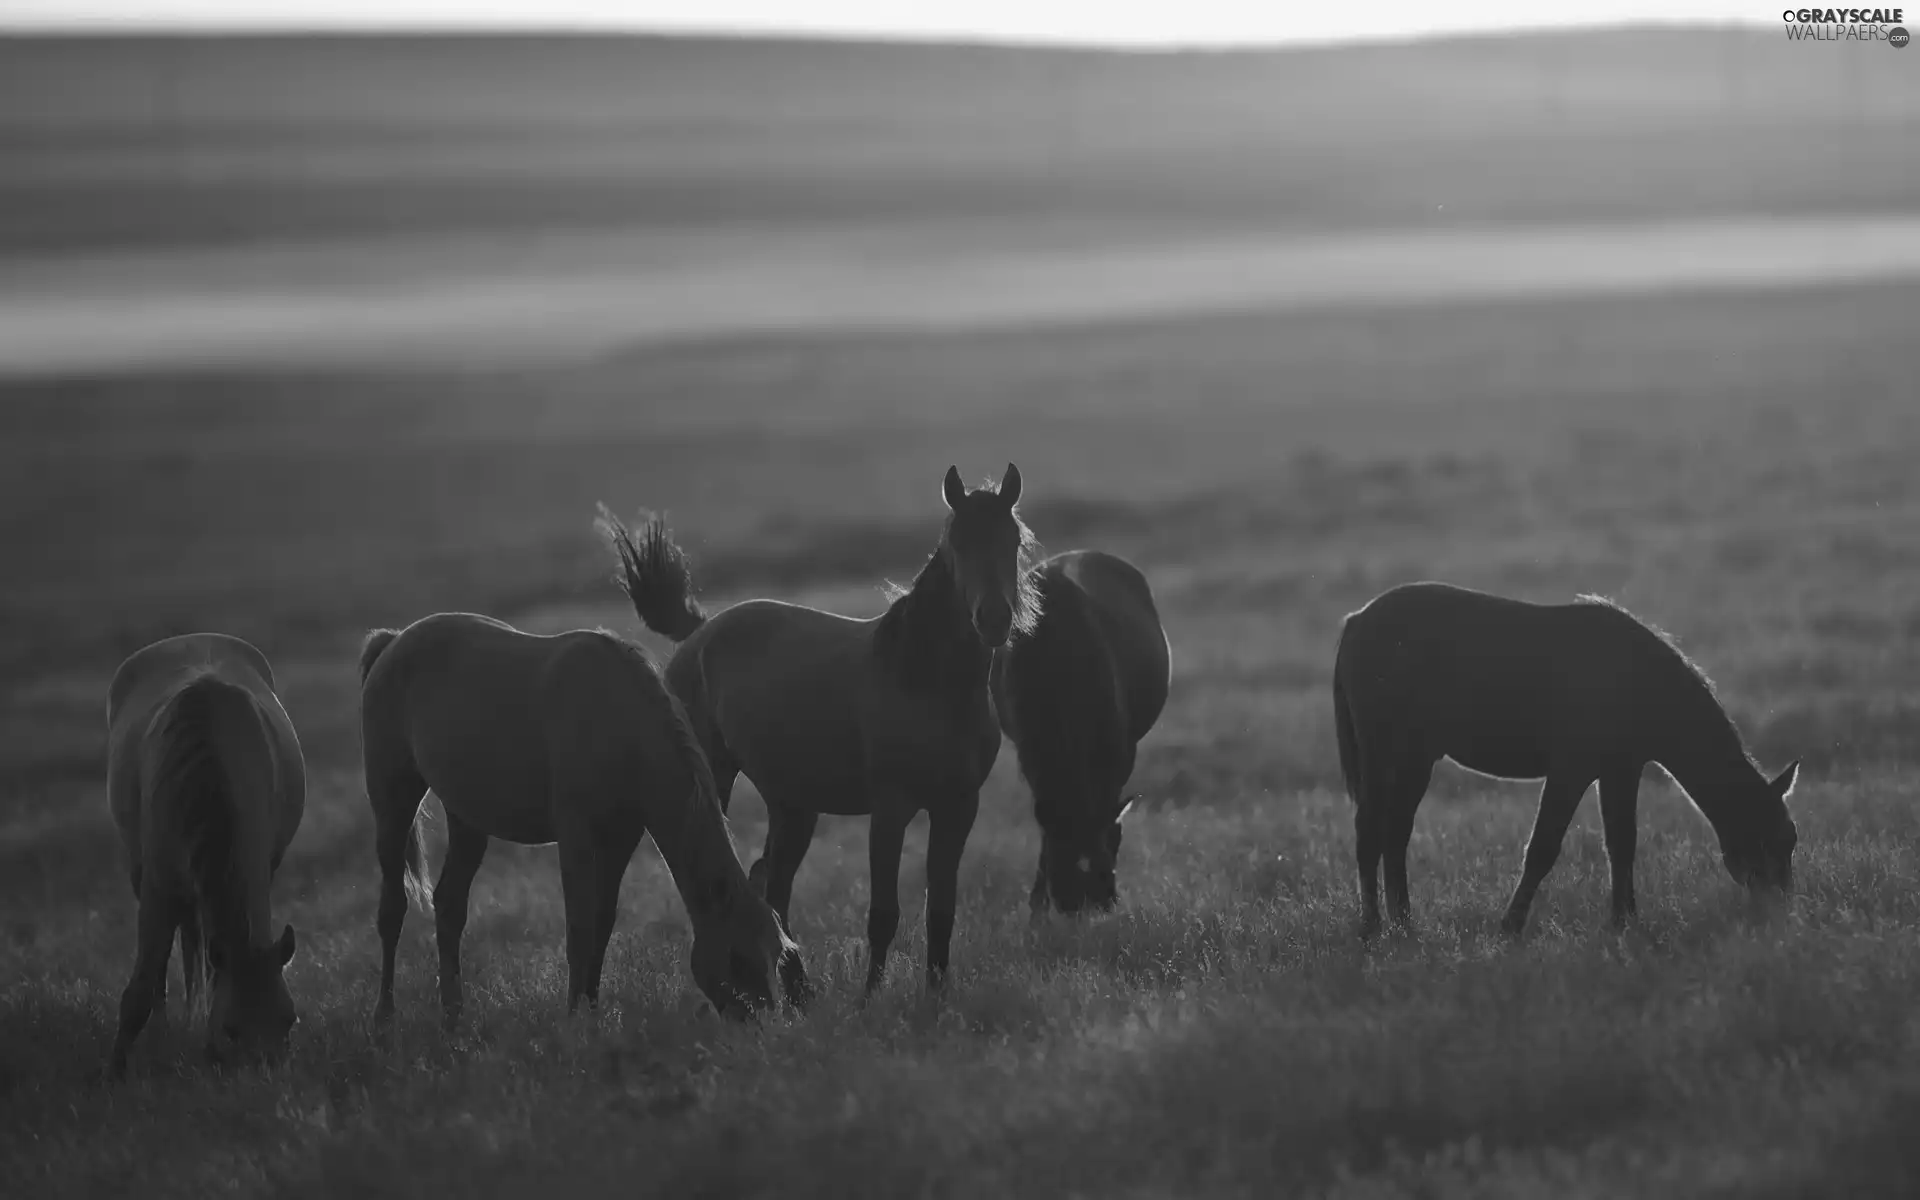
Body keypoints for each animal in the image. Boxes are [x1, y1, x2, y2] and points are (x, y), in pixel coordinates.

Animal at [106, 637, 303, 1075]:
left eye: (289, 1019)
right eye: (231, 1029)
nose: (264, 1075)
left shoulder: (261, 867)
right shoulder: (157, 884)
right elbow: (141, 986)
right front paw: (115, 1071)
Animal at [357, 614, 806, 1021]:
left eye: (777, 956)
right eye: (738, 958)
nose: (765, 1025)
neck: (620, 724)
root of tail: (393, 640)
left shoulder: (621, 837)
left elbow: (602, 923)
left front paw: (591, 1006)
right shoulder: (577, 835)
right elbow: (579, 926)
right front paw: (575, 1017)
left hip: (467, 818)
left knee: (450, 905)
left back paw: (454, 1014)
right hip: (393, 803)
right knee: (392, 908)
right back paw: (384, 1015)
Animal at [606, 462, 1044, 998]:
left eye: (1013, 541)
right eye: (957, 542)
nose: (994, 619)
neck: (923, 681)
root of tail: (699, 633)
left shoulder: (958, 808)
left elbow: (941, 911)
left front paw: (936, 997)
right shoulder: (891, 808)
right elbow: (884, 913)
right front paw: (870, 999)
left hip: (793, 804)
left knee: (772, 882)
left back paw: (802, 992)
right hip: (719, 779)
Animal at [1336, 579, 1797, 936]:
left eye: (1790, 839)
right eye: (1769, 839)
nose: (1780, 911)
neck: (1638, 680)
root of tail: (1357, 619)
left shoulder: (1621, 770)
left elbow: (1622, 844)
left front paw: (1624, 922)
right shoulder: (1571, 771)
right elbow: (1543, 847)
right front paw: (1510, 927)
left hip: (1415, 759)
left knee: (1395, 834)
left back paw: (1404, 924)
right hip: (1384, 753)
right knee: (1369, 832)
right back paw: (1372, 928)